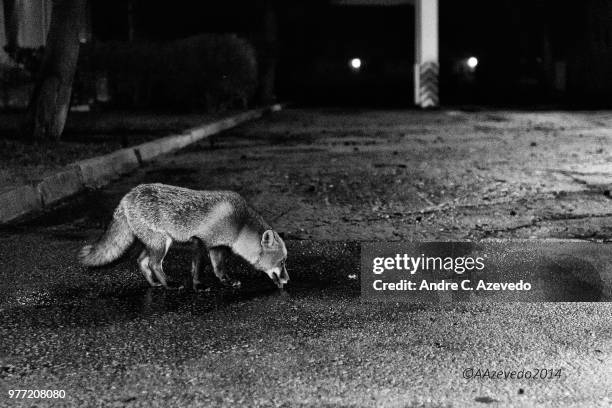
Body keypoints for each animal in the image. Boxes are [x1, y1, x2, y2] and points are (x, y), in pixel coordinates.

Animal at [78, 182, 290, 290]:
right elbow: (197, 268)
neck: (239, 225)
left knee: (141, 261)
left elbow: (219, 269)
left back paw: (155, 283)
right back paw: (169, 284)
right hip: (162, 243)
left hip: (154, 243)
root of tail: (127, 196)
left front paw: (227, 281)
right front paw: (198, 285)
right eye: (282, 262)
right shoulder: (200, 241)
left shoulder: (216, 246)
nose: (288, 280)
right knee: (154, 264)